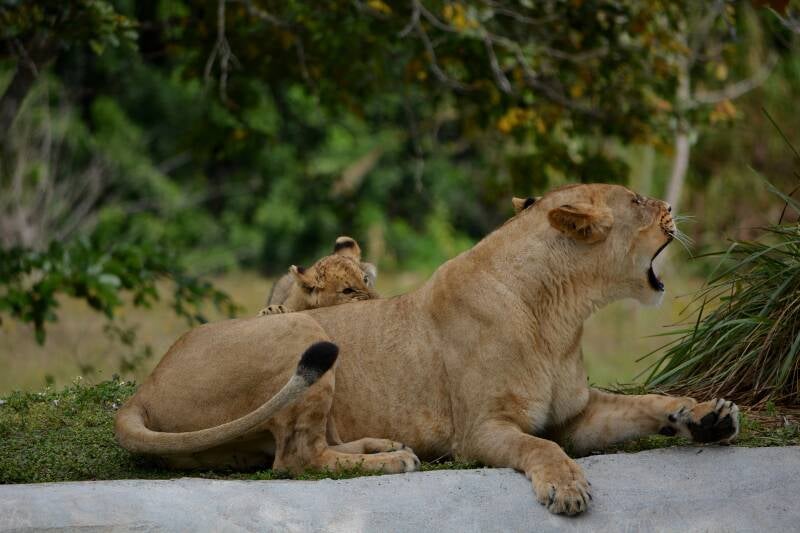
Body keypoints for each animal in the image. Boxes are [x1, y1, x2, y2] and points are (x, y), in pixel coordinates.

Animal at [115, 184, 739, 516]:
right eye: (636, 200)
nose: (672, 207)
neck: (561, 314)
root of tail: (143, 388)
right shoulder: (480, 430)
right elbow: (540, 447)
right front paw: (566, 486)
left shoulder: (576, 414)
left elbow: (648, 403)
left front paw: (706, 414)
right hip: (305, 336)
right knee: (295, 458)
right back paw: (393, 460)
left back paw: (383, 444)